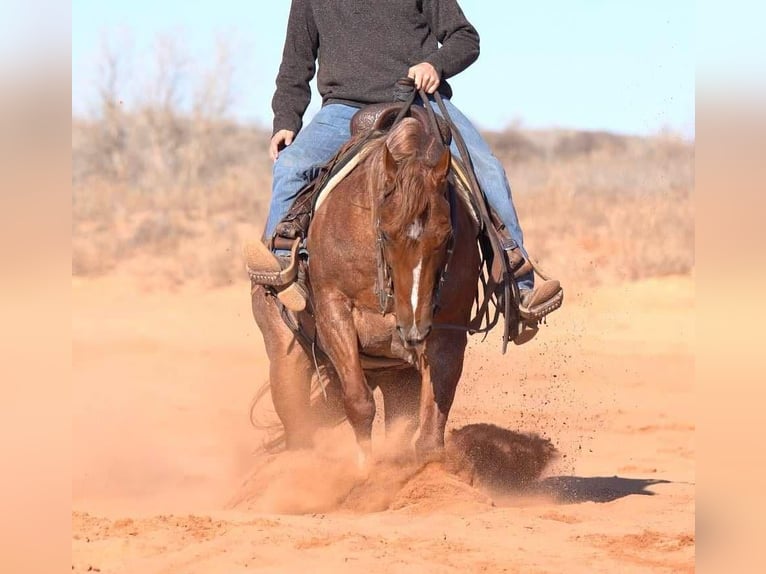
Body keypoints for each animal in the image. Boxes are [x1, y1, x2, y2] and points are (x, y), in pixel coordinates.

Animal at [252, 113, 480, 468]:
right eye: (385, 233)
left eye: (447, 236)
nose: (413, 328)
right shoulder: (334, 311)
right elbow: (359, 404)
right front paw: (364, 468)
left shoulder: (448, 329)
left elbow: (431, 428)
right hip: (287, 361)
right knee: (299, 427)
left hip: (396, 376)